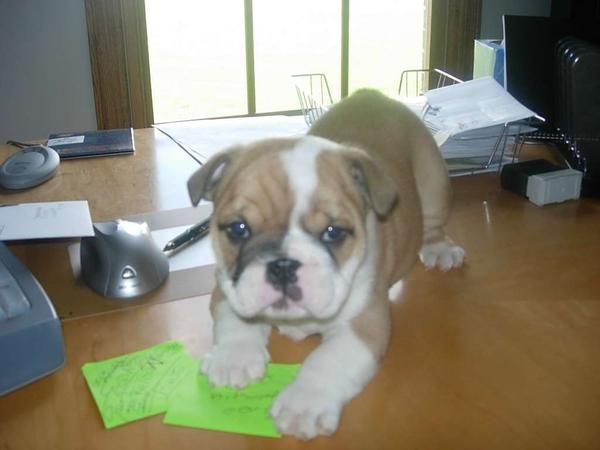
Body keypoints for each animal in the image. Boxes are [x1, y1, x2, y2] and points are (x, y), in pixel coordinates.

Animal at [188, 89, 464, 440]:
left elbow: (328, 360)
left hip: (433, 180)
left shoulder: (363, 324)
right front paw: (233, 358)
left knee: (432, 220)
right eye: (238, 229)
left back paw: (439, 248)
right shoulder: (226, 289)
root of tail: (372, 95)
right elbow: (235, 322)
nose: (282, 265)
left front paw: (304, 403)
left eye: (333, 232)